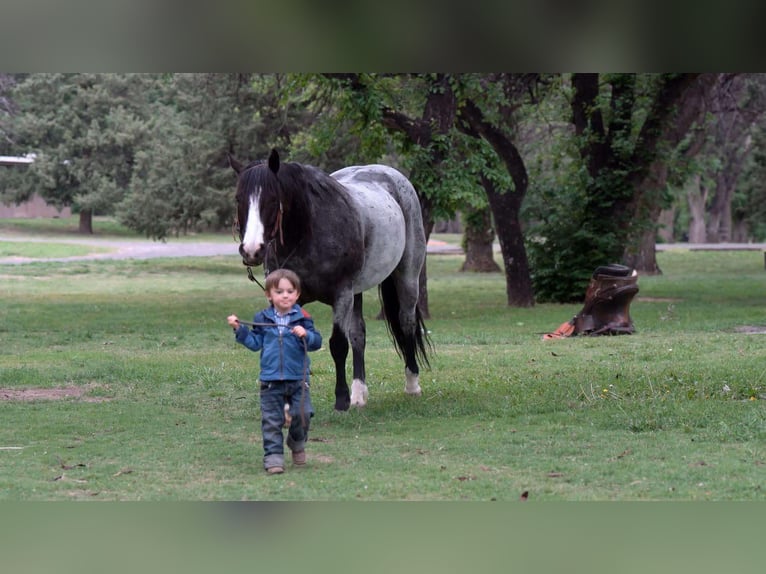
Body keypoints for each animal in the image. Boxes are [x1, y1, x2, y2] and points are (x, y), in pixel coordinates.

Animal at [228, 151, 432, 412]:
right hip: (357, 291)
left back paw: (412, 383)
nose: (252, 250)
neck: (308, 232)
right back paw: (359, 393)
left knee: (406, 322)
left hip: (406, 277)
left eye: (272, 198)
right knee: (359, 335)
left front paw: (341, 399)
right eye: (238, 198)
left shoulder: (341, 294)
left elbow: (338, 344)